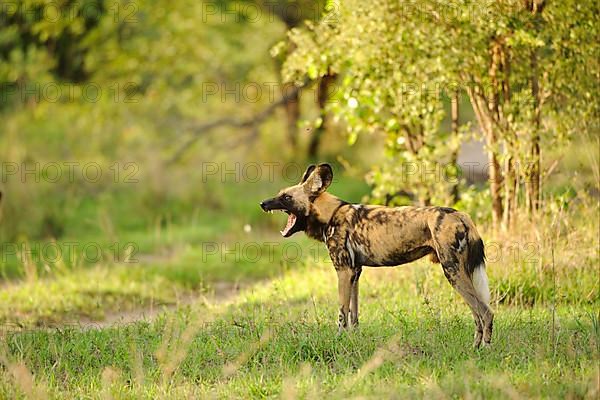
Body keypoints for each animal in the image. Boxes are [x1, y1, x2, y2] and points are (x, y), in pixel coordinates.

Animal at [260, 162, 494, 346]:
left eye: (286, 197)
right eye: (280, 194)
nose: (263, 203)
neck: (331, 214)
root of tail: (460, 214)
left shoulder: (343, 272)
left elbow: (341, 314)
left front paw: (338, 339)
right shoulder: (354, 272)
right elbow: (353, 315)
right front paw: (354, 340)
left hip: (452, 271)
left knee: (485, 312)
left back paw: (484, 349)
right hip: (459, 272)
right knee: (478, 314)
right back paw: (474, 347)